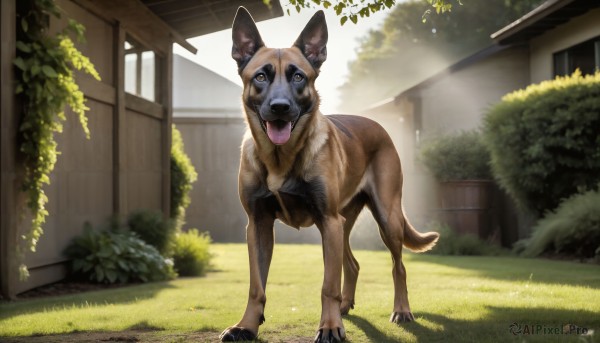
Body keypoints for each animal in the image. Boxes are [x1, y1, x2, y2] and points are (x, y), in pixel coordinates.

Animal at [218, 6, 438, 342]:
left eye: (298, 76)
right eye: (260, 76)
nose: (280, 107)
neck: (281, 158)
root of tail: (378, 125)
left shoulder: (327, 221)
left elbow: (327, 285)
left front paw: (330, 327)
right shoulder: (258, 225)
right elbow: (257, 286)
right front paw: (246, 326)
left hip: (382, 219)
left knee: (397, 267)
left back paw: (401, 310)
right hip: (342, 225)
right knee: (353, 264)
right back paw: (346, 306)